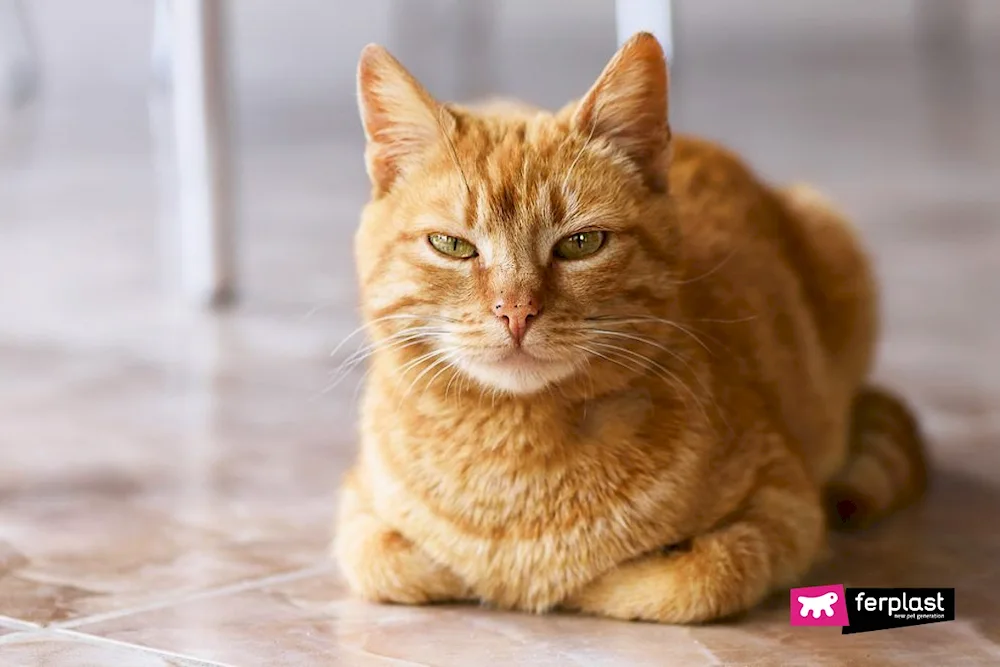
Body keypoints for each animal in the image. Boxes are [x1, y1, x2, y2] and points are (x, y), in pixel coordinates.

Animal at [332, 34, 924, 624]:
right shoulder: (358, 508)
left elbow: (692, 577)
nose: (516, 311)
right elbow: (396, 564)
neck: (516, 456)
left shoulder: (787, 503)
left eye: (581, 243)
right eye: (452, 245)